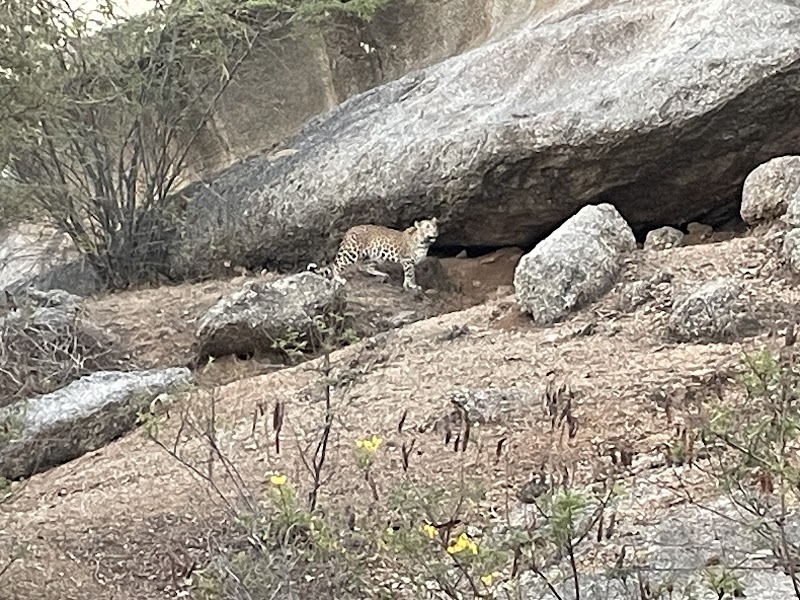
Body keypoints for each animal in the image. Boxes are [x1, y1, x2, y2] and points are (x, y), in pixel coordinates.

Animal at [308, 218, 439, 290]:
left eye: (435, 226)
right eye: (427, 227)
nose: (435, 233)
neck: (425, 243)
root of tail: (349, 231)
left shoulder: (408, 262)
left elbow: (408, 275)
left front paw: (407, 285)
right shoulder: (407, 260)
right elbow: (411, 275)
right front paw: (413, 285)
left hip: (374, 255)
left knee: (364, 267)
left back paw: (383, 274)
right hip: (351, 252)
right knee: (337, 266)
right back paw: (339, 279)